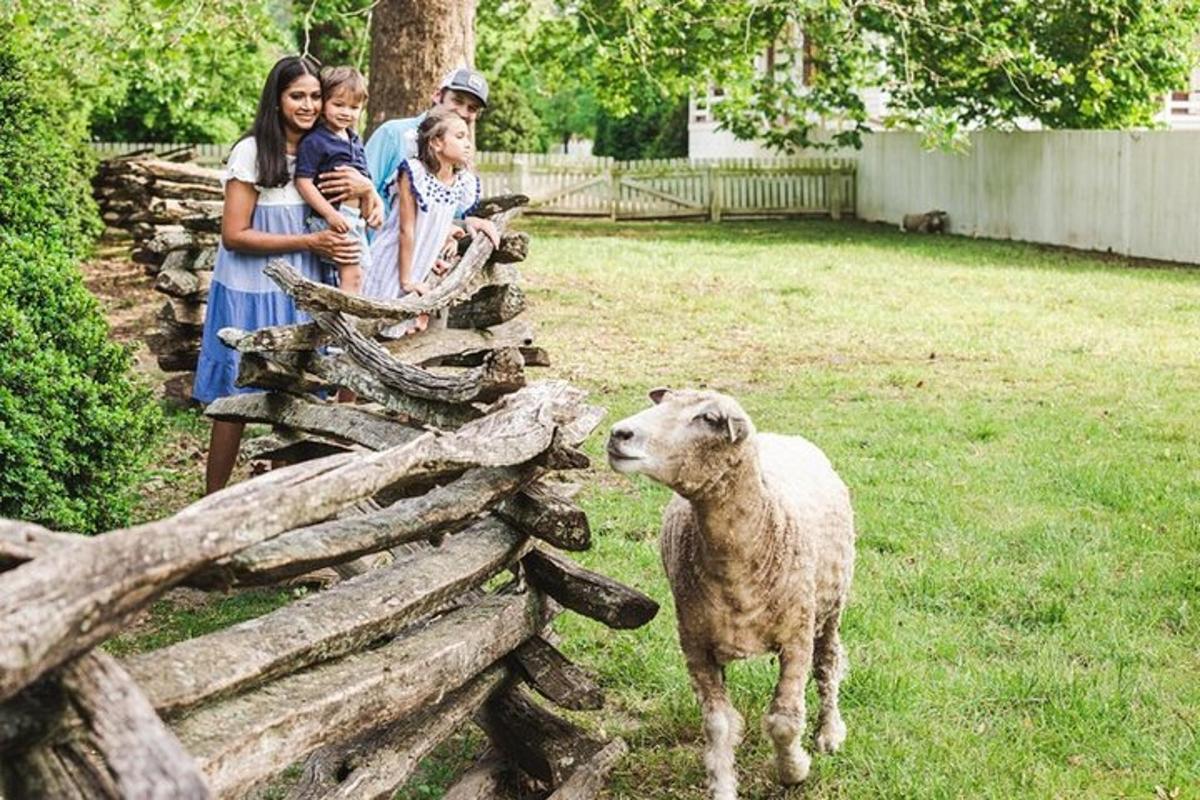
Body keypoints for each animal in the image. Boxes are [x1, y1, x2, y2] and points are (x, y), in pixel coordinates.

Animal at [609, 383, 854, 796]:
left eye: (708, 418)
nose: (618, 434)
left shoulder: (796, 637)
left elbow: (784, 720)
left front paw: (794, 770)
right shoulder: (695, 644)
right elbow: (719, 724)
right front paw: (723, 786)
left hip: (831, 604)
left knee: (829, 662)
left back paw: (830, 733)